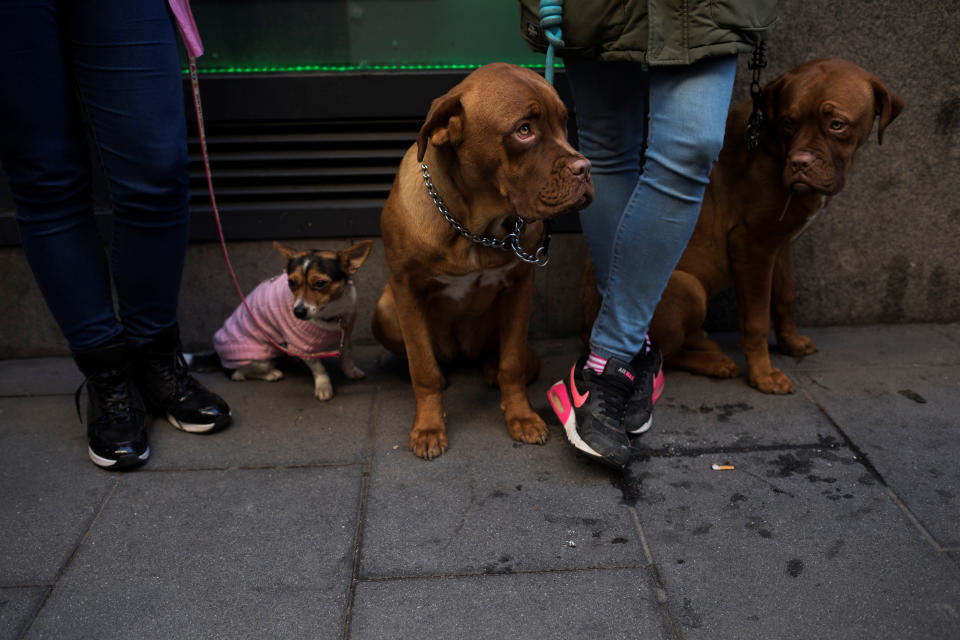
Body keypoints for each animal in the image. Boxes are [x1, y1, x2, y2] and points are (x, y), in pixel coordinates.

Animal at [216, 240, 374, 400]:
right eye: (291, 282)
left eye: (320, 283)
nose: (298, 312)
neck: (330, 313)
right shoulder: (302, 348)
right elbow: (319, 369)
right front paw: (324, 387)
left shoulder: (345, 334)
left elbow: (347, 356)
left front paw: (351, 371)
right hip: (258, 358)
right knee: (238, 374)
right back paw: (271, 374)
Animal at [374, 62, 592, 458]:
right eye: (524, 130)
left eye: (563, 122)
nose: (585, 168)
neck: (473, 227)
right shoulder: (405, 289)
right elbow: (423, 368)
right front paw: (429, 427)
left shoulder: (520, 287)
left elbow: (513, 363)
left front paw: (521, 417)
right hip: (384, 310)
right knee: (429, 360)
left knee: (512, 358)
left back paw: (490, 368)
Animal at [580, 57, 904, 392]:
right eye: (788, 122)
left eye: (837, 124)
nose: (800, 163)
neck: (773, 145)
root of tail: (585, 330)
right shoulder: (752, 246)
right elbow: (757, 320)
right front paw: (763, 374)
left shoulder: (780, 243)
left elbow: (785, 297)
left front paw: (791, 343)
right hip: (688, 288)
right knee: (663, 355)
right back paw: (713, 361)